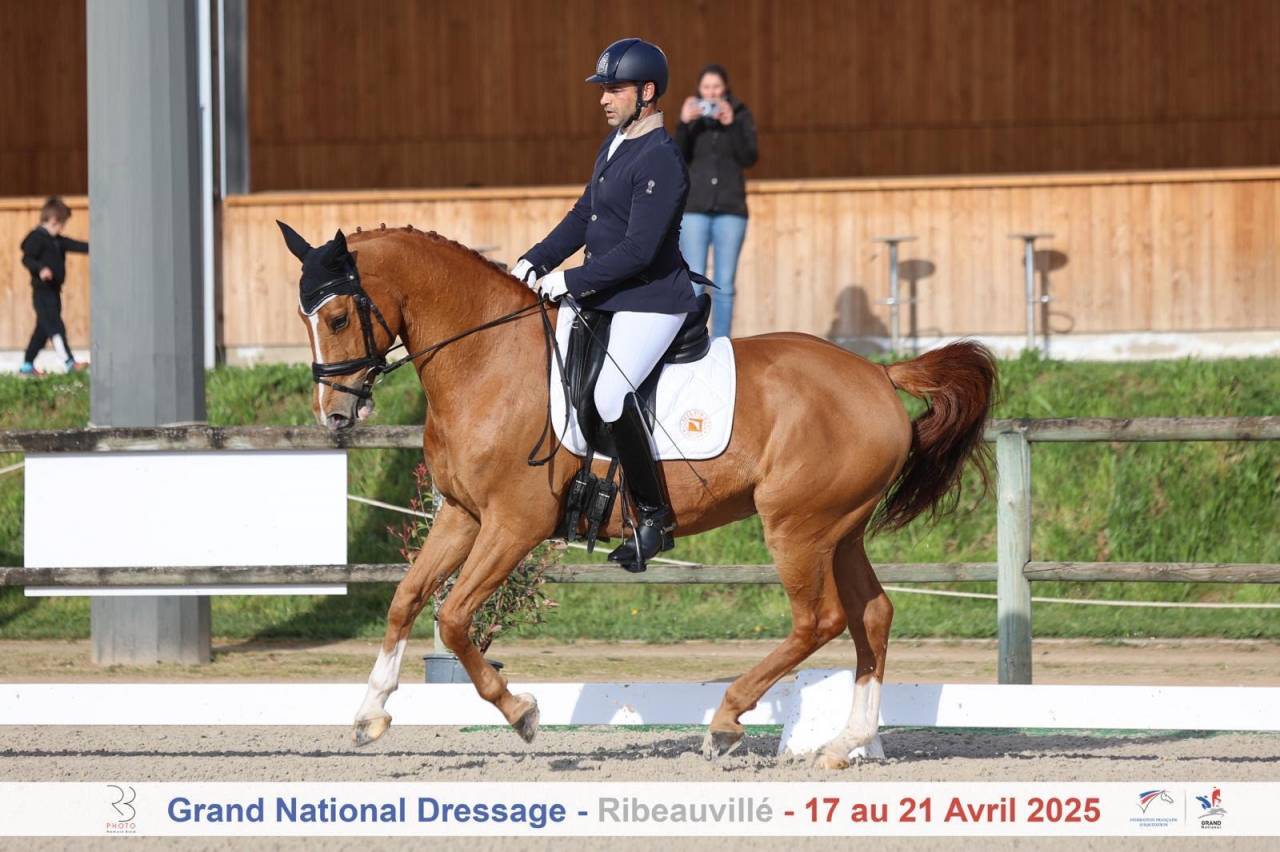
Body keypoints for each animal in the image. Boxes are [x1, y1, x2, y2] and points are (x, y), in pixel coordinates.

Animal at [277, 221, 997, 769]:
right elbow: (406, 599)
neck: (488, 359)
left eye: (336, 316)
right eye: (305, 317)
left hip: (797, 526)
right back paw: (845, 745)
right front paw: (370, 713)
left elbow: (453, 618)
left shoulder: (516, 522)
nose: (334, 417)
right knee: (872, 616)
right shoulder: (463, 515)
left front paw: (522, 711)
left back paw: (728, 719)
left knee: (818, 620)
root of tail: (877, 374)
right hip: (839, 529)